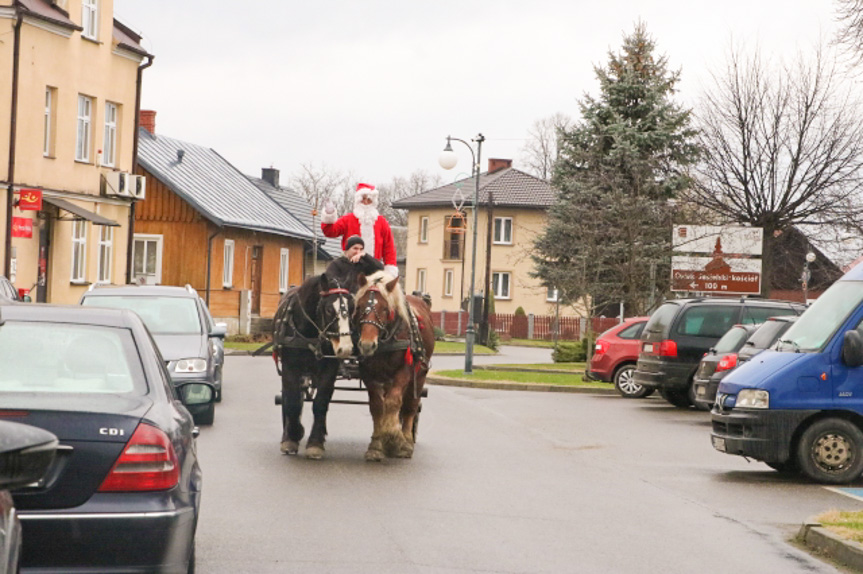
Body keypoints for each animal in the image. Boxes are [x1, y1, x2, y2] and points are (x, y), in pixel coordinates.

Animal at [270, 272, 352, 462]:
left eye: (352, 308)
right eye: (329, 310)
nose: (345, 348)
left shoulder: (329, 371)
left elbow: (320, 403)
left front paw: (315, 443)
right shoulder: (290, 369)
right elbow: (292, 401)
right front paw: (293, 436)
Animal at [354, 272, 436, 464]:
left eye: (385, 309)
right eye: (360, 306)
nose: (367, 345)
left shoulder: (405, 371)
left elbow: (393, 402)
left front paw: (393, 435)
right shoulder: (369, 374)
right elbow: (377, 406)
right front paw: (377, 445)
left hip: (419, 375)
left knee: (409, 406)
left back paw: (406, 442)